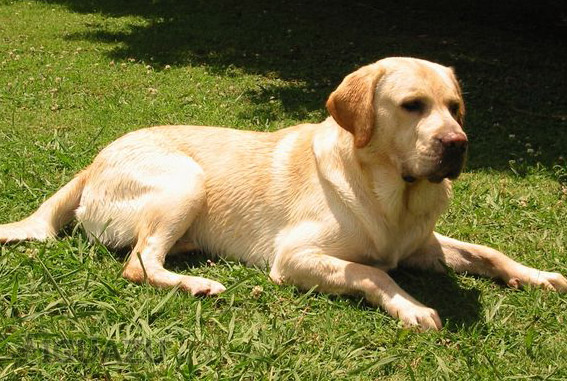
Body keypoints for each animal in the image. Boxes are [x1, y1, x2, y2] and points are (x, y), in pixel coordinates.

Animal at [1, 57, 567, 330]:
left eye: (455, 107)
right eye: (413, 106)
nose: (458, 145)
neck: (388, 195)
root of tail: (94, 159)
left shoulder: (422, 245)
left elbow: (488, 252)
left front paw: (537, 276)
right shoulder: (294, 257)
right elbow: (373, 272)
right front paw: (411, 307)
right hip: (187, 180)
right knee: (138, 264)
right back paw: (198, 284)